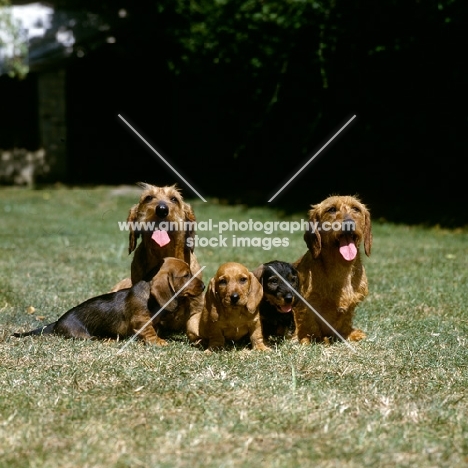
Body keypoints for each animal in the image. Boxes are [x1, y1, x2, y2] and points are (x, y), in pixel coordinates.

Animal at [292, 195, 372, 344]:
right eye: (331, 209)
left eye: (356, 209)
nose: (348, 224)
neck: (341, 267)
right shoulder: (306, 304)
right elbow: (309, 323)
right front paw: (311, 339)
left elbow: (345, 320)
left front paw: (348, 334)